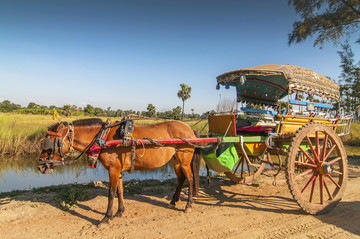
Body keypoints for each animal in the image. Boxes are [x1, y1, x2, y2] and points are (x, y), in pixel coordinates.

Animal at [38, 118, 201, 225]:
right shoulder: (118, 170)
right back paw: (173, 201)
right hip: (175, 160)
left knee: (190, 179)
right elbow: (119, 190)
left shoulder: (113, 169)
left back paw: (188, 205)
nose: (40, 165)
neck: (103, 138)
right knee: (181, 179)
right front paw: (119, 212)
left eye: (49, 143)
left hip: (184, 160)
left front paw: (106, 217)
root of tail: (189, 129)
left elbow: (111, 193)